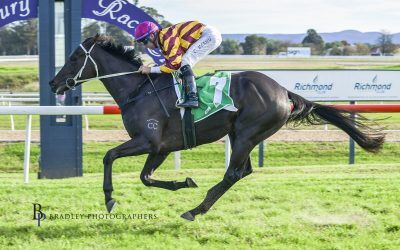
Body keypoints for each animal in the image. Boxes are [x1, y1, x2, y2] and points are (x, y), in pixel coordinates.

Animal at [50, 35, 384, 221]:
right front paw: (183, 182)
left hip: (248, 134)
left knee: (233, 173)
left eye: (75, 57)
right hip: (240, 135)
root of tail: (284, 91)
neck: (139, 89)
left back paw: (195, 210)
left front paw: (109, 198)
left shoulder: (148, 141)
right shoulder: (162, 147)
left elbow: (109, 156)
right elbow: (146, 177)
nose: (54, 83)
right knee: (242, 171)